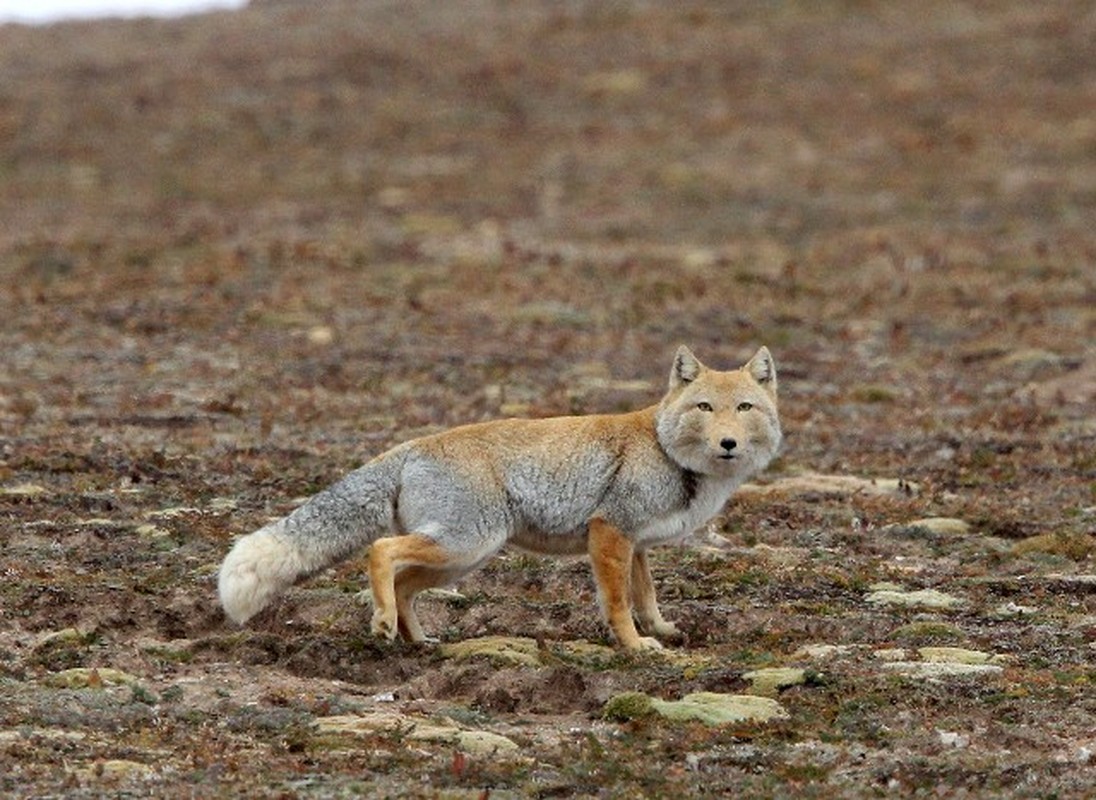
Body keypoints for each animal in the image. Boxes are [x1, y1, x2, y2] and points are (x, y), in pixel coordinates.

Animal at [218, 346, 780, 644]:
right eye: (705, 408)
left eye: (744, 407)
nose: (728, 443)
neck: (667, 450)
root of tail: (410, 444)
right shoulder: (610, 532)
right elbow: (619, 603)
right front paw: (637, 647)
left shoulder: (635, 544)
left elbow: (646, 595)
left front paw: (660, 631)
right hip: (466, 543)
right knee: (381, 552)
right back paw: (383, 624)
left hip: (461, 558)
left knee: (403, 584)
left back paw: (418, 640)